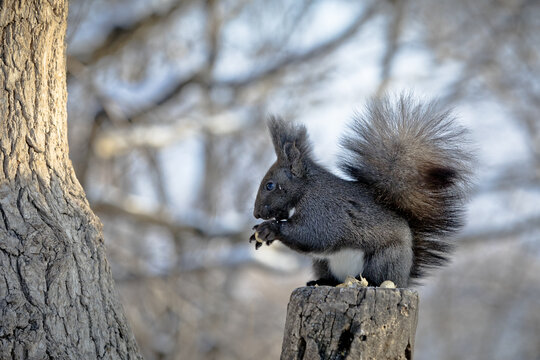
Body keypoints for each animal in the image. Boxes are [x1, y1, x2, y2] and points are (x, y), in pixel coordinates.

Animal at [249, 95, 472, 286]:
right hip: (322, 263)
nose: (256, 213)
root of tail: (404, 278)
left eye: (270, 185)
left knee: (379, 277)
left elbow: (313, 235)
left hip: (384, 259)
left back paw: (370, 282)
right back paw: (323, 282)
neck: (306, 189)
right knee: (332, 277)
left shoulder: (324, 210)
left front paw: (270, 229)